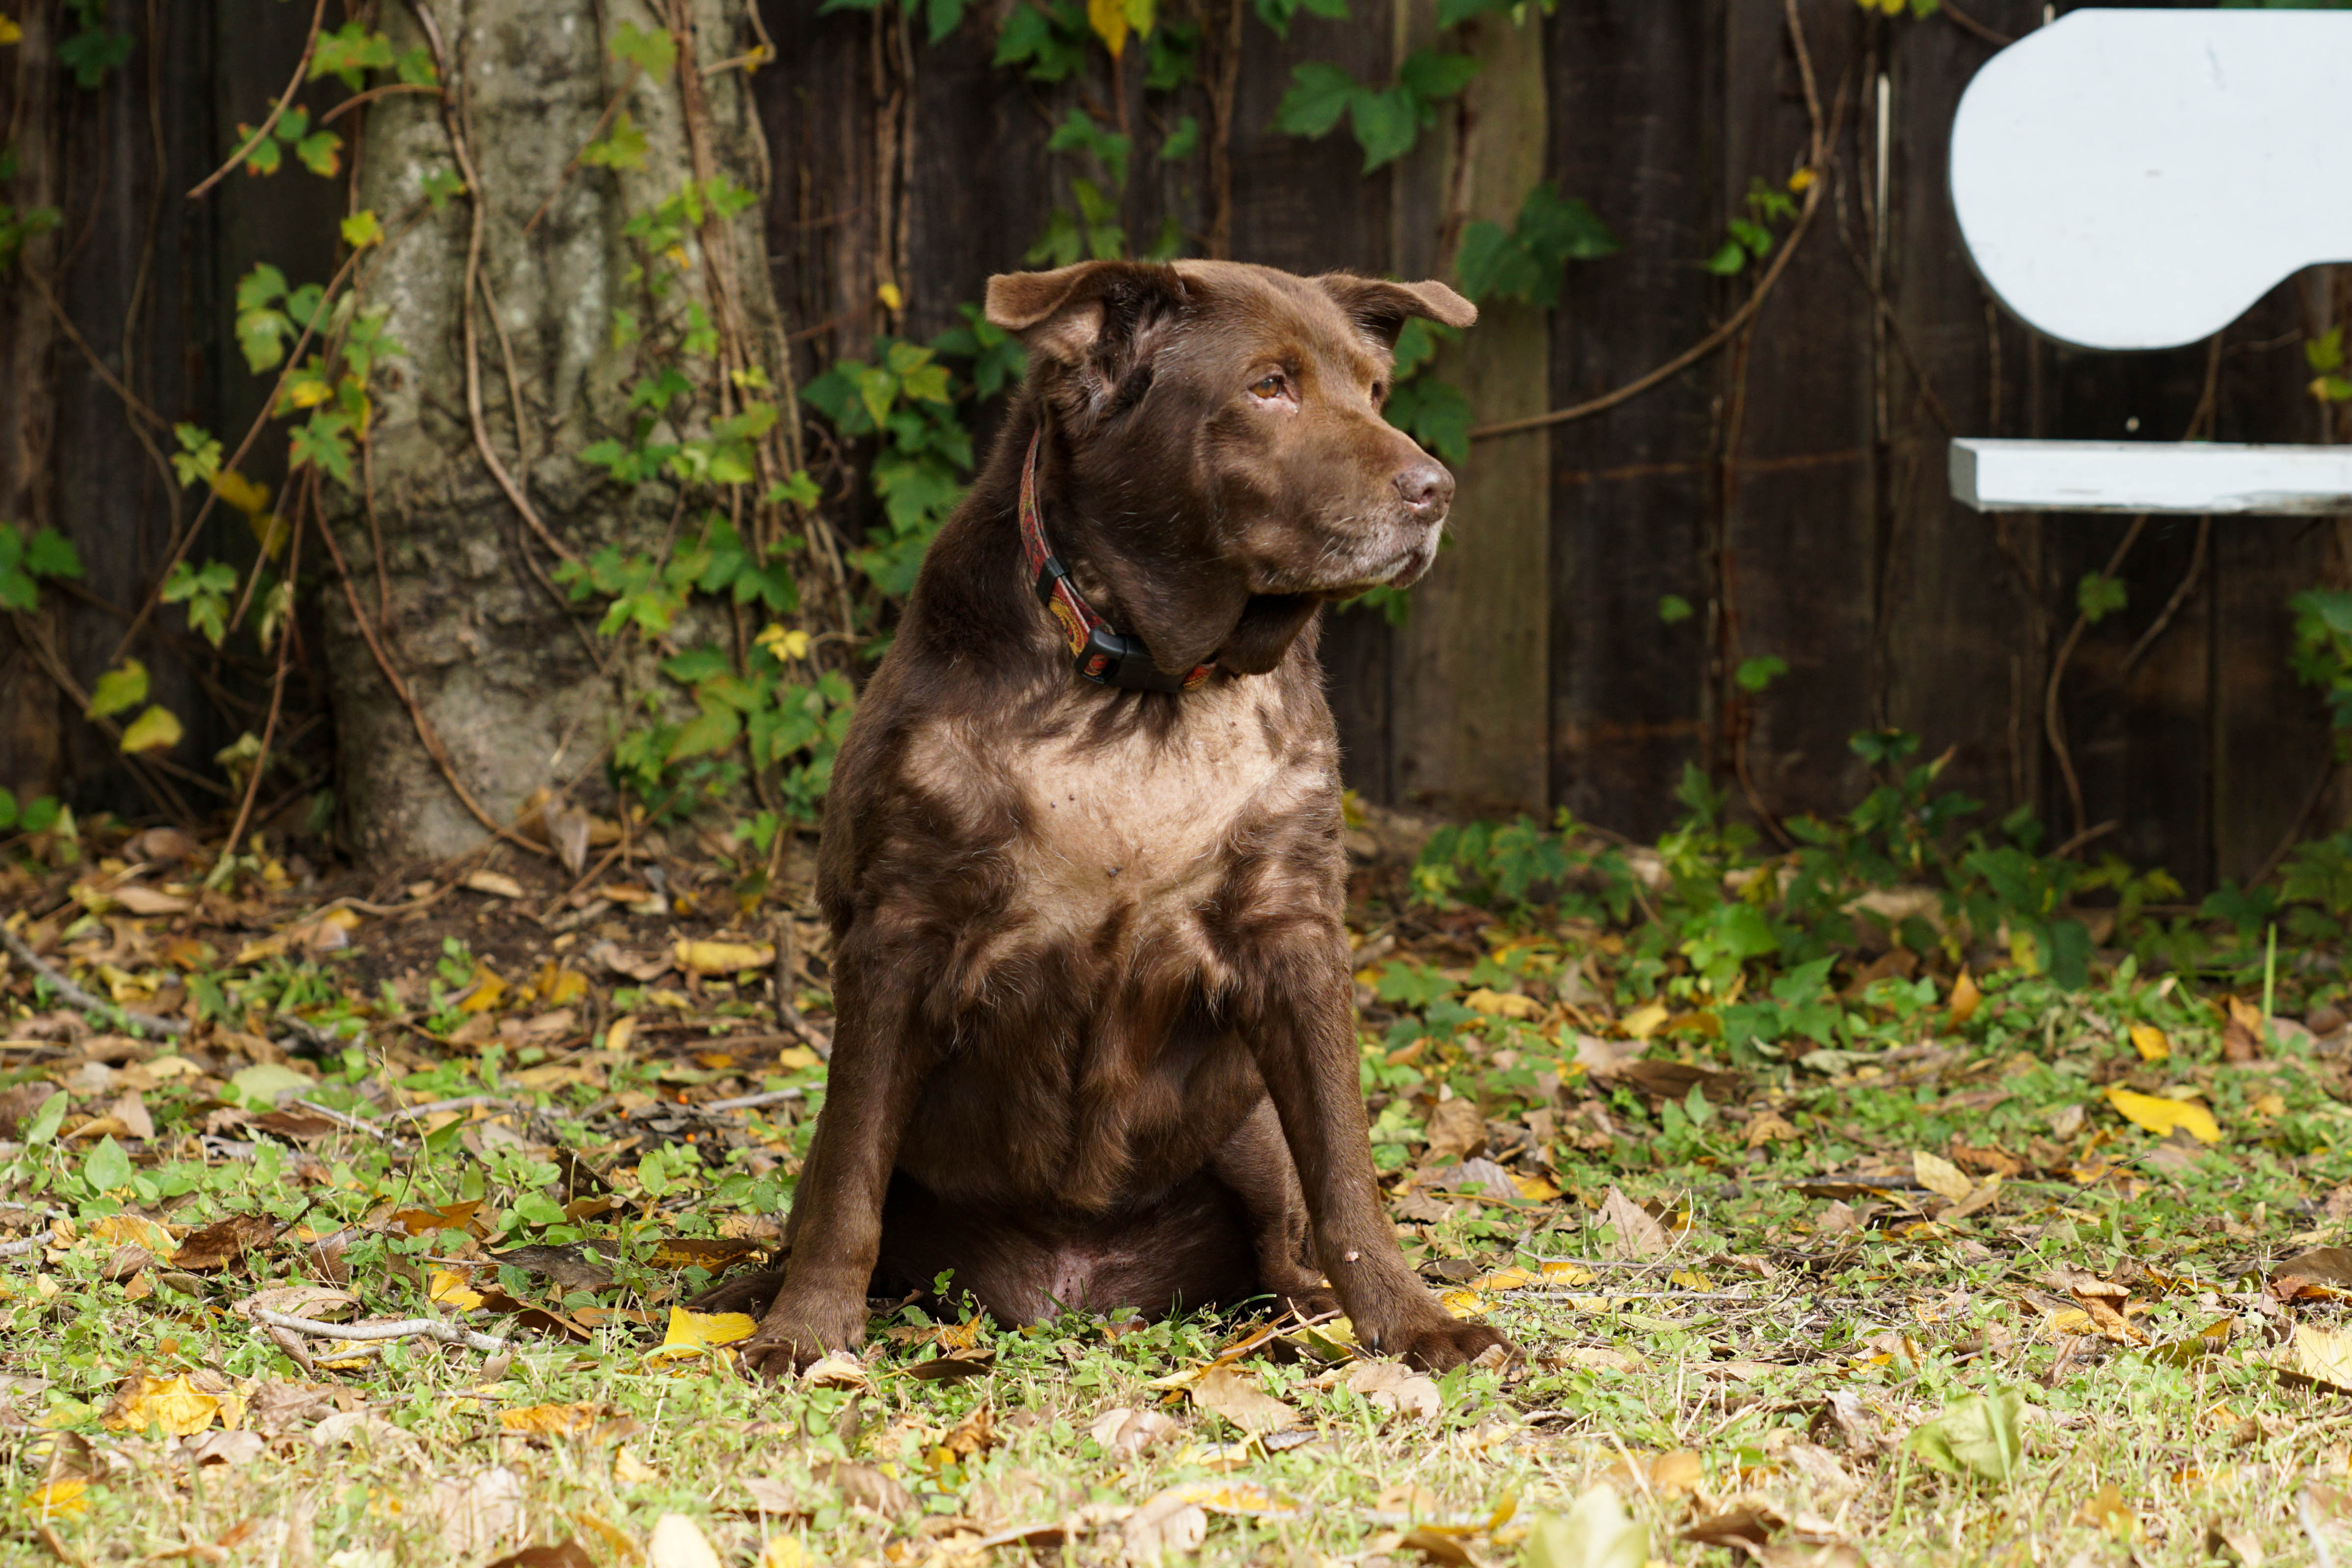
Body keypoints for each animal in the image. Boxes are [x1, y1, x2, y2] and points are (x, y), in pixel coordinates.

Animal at [738, 257, 1505, 1373]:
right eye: (1268, 387)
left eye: (1374, 392)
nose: (1433, 491)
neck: (1148, 687)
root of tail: (1079, 1286)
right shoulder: (897, 934)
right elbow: (850, 1180)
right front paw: (805, 1331)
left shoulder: (1294, 928)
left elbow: (1347, 1168)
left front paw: (1411, 1324)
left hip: (1249, 1138)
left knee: (1281, 1237)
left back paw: (1302, 1307)